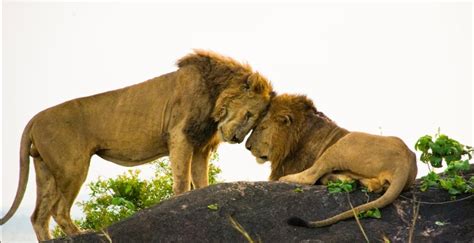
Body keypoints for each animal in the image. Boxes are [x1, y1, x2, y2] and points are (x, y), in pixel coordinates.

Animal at [1, 50, 274, 240]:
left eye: (257, 121)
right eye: (249, 115)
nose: (237, 139)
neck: (215, 93)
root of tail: (35, 118)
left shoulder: (201, 146)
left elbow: (201, 180)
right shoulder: (180, 136)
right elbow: (182, 180)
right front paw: (181, 201)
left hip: (45, 170)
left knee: (39, 216)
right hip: (73, 167)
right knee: (58, 210)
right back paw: (80, 233)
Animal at [246, 93, 416, 228]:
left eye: (262, 127)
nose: (247, 146)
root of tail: (404, 162)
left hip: (343, 143)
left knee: (310, 176)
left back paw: (288, 178)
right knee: (372, 185)